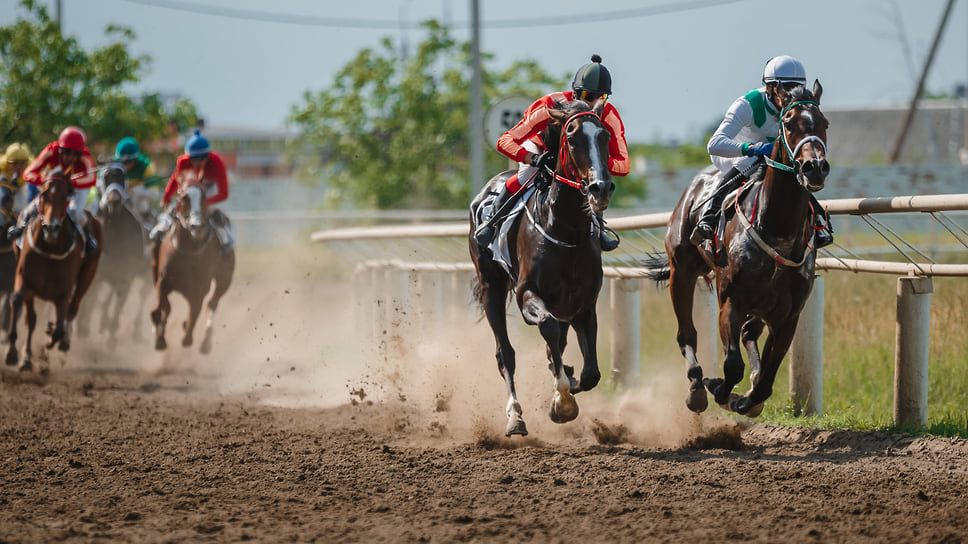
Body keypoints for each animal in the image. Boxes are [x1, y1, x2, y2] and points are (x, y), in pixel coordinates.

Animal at [5, 172, 103, 372]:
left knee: (73, 308)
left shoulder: (62, 294)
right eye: (43, 195)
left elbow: (58, 327)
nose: (51, 228)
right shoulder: (25, 281)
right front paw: (17, 355)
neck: (50, 248)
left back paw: (64, 340)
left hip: (88, 275)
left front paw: (51, 340)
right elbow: (23, 308)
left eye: (65, 197)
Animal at [150, 172, 235, 354]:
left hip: (224, 278)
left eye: (203, 197)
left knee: (212, 303)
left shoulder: (199, 288)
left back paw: (205, 342)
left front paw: (187, 336)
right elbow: (159, 309)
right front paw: (159, 338)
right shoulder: (163, 280)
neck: (186, 249)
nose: (196, 225)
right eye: (183, 198)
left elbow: (194, 313)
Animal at [466, 99, 612, 438]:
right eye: (571, 137)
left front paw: (568, 382)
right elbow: (547, 328)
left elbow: (590, 373)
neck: (565, 230)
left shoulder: (584, 306)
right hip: (491, 288)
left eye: (605, 137)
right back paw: (515, 416)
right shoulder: (526, 295)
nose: (600, 188)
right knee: (505, 354)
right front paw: (563, 402)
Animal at [648, 81, 828, 416]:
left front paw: (746, 399)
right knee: (686, 334)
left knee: (748, 336)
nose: (814, 167)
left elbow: (767, 379)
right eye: (788, 122)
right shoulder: (731, 302)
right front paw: (718, 389)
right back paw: (697, 387)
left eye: (824, 123)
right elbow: (732, 366)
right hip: (682, 271)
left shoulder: (788, 315)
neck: (777, 228)